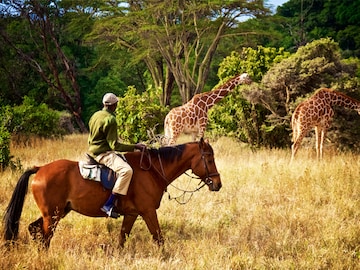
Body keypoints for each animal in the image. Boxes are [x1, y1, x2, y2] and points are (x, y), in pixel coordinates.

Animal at [4, 139, 221, 249]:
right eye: (209, 158)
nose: (218, 184)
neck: (152, 170)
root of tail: (40, 169)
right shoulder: (148, 211)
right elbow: (158, 238)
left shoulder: (132, 214)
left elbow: (122, 239)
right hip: (53, 216)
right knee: (45, 237)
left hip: (57, 212)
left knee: (34, 229)